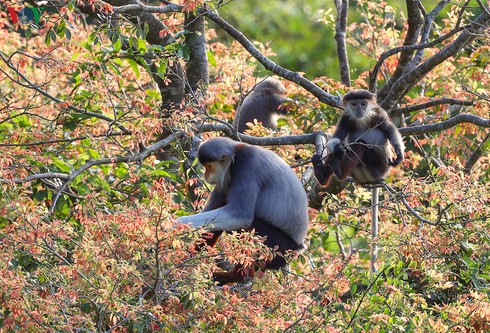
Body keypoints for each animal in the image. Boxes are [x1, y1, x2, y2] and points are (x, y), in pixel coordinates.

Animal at [177, 136, 310, 284]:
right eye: (205, 167)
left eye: (209, 167)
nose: (206, 175)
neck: (237, 152)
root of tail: (298, 247)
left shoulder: (246, 165)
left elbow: (240, 214)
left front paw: (176, 224)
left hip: (278, 246)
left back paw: (237, 276)